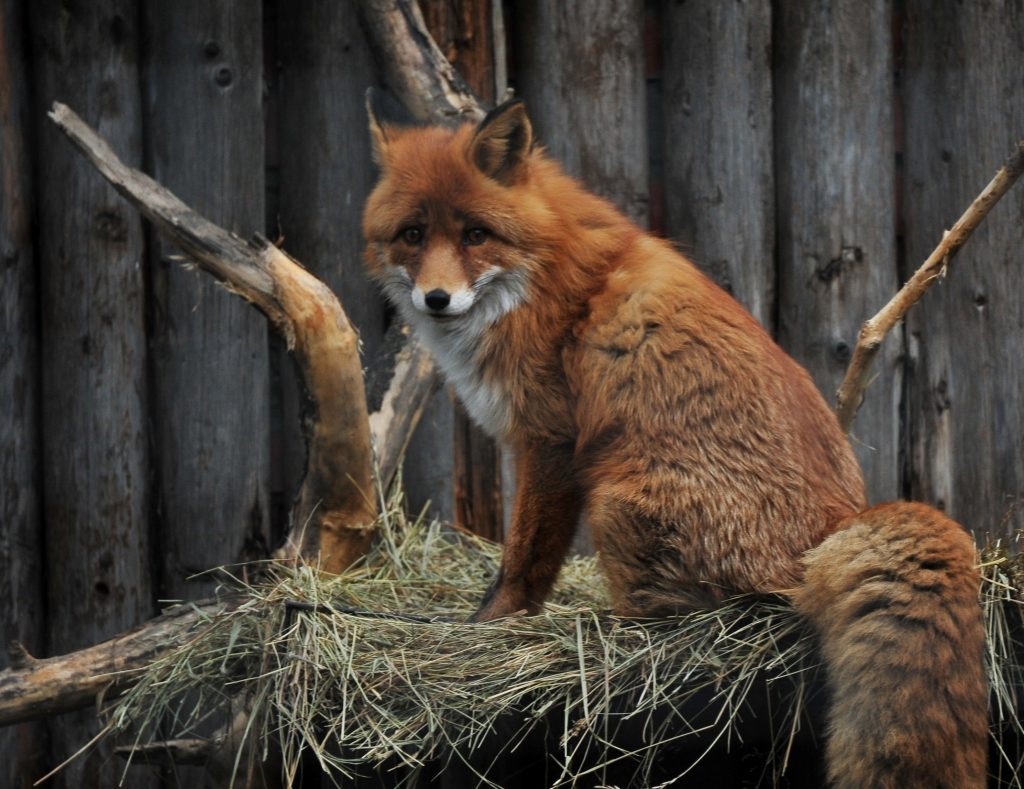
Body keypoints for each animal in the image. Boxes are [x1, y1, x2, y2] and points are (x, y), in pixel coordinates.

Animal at [364, 100, 987, 789]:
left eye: (475, 235)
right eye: (413, 234)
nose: (436, 298)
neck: (537, 275)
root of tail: (836, 527)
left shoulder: (548, 441)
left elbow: (524, 559)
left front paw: (492, 627)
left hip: (615, 504)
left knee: (668, 624)